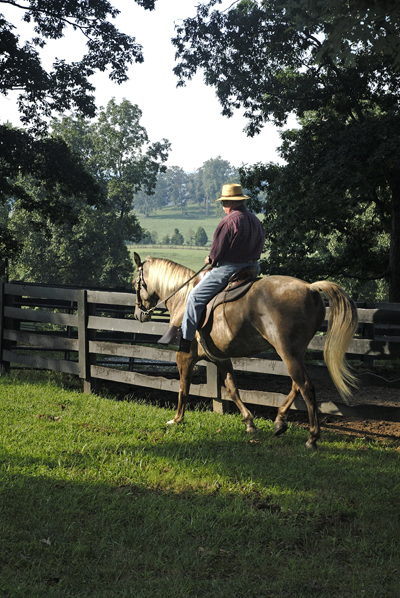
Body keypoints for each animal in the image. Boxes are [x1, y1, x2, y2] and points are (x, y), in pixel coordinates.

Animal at [133, 253, 358, 450]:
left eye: (136, 282)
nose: (138, 314)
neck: (182, 298)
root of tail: (309, 287)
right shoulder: (222, 359)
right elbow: (233, 390)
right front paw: (249, 423)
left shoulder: (184, 356)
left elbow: (183, 388)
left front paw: (177, 419)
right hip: (296, 354)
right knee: (296, 386)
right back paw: (279, 422)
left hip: (288, 353)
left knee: (306, 388)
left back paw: (312, 438)